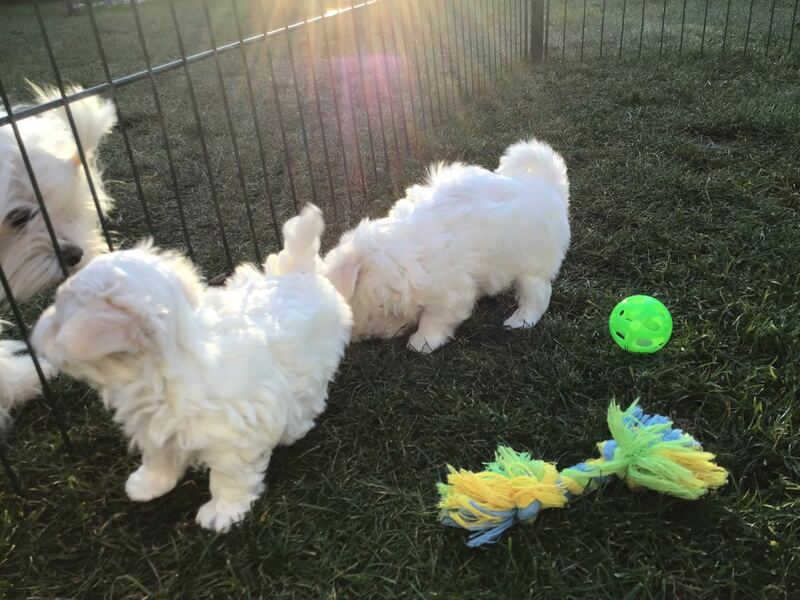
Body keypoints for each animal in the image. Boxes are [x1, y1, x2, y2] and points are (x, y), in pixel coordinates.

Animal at [33, 205, 352, 532]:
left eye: (58, 318)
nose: (35, 334)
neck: (169, 366)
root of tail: (297, 273)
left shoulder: (231, 438)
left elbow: (229, 476)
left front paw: (223, 511)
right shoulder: (153, 424)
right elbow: (158, 455)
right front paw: (149, 484)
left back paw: (294, 429)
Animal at [323, 138, 570, 353]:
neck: (390, 264)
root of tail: (548, 187)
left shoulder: (448, 292)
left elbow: (434, 318)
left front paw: (422, 342)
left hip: (530, 261)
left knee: (537, 293)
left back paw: (521, 320)